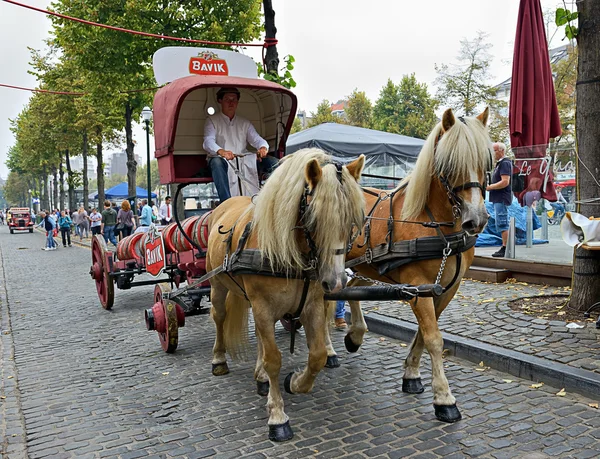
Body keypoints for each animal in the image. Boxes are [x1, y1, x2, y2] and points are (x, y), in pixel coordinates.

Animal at [206, 149, 366, 444]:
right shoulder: (263, 307)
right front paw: (277, 415)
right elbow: (274, 359)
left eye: (352, 222)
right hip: (218, 286)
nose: (337, 282)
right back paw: (219, 359)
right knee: (219, 317)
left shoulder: (312, 305)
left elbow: (317, 355)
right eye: (314, 218)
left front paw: (294, 382)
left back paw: (260, 377)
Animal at [342, 108, 492, 424]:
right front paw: (444, 399)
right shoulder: (418, 286)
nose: (477, 219)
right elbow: (434, 337)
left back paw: (355, 334)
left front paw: (411, 374)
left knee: (349, 289)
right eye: (449, 163)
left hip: (364, 268)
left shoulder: (445, 288)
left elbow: (424, 332)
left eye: (486, 162)